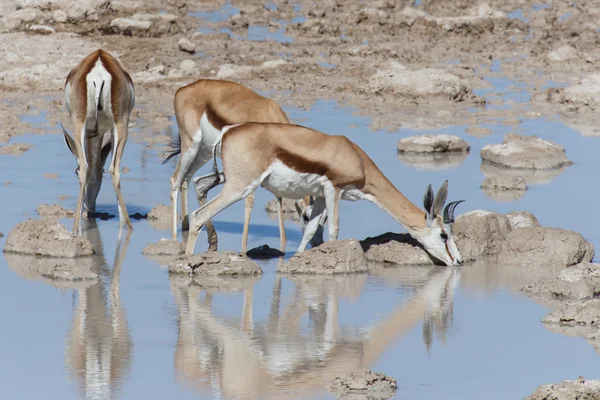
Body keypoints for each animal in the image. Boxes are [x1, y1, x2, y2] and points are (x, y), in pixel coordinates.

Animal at [60, 48, 135, 233]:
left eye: (74, 172)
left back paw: (75, 228)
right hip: (120, 123)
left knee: (87, 167)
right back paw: (127, 226)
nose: (89, 208)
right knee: (114, 171)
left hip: (79, 122)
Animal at [186, 122, 464, 266]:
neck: (356, 158)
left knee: (198, 189)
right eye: (444, 234)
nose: (459, 261)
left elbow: (310, 230)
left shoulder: (319, 196)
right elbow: (334, 230)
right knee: (198, 215)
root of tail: (228, 131)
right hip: (239, 186)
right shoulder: (334, 189)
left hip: (225, 179)